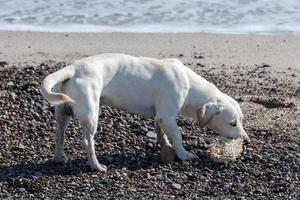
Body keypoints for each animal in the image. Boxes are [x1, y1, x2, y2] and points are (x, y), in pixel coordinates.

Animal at [41, 53, 250, 172]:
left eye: (241, 120)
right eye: (233, 123)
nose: (246, 140)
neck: (191, 86)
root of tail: (73, 68)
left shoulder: (160, 116)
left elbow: (161, 132)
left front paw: (165, 146)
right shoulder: (167, 115)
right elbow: (177, 136)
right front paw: (183, 154)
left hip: (62, 112)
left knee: (59, 135)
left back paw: (59, 158)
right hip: (92, 113)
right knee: (87, 141)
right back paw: (96, 166)